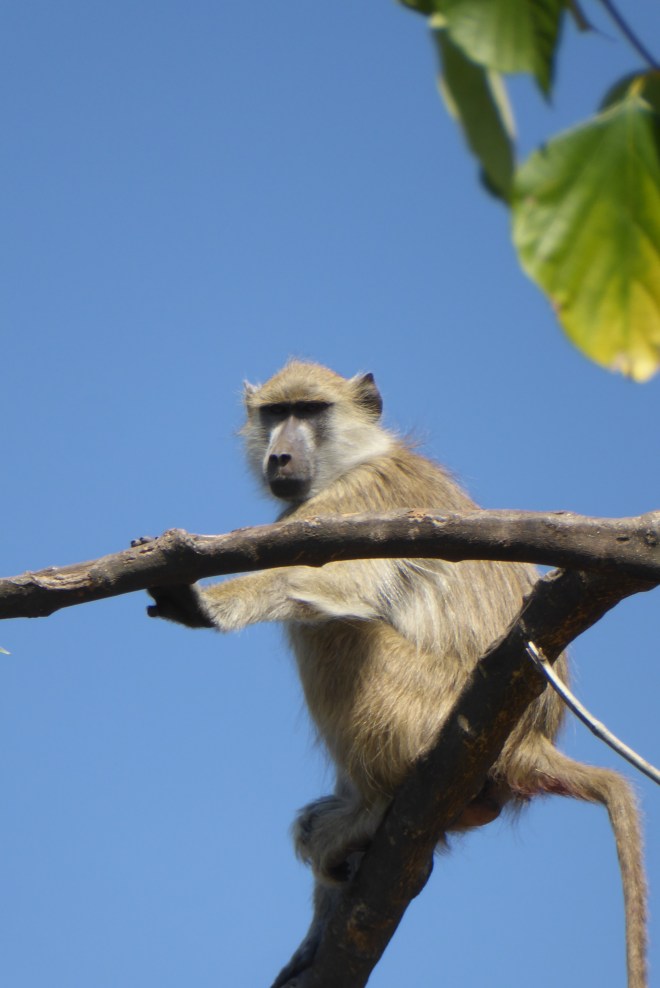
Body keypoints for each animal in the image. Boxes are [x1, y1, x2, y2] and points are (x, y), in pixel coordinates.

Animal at [142, 361, 647, 988]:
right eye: (275, 413)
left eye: (310, 411)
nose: (280, 457)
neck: (358, 456)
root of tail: (528, 741)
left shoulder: (345, 507)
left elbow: (326, 585)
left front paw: (203, 604)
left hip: (418, 709)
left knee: (331, 630)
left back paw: (374, 808)